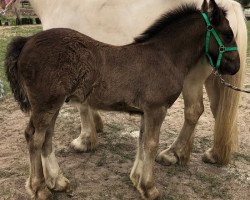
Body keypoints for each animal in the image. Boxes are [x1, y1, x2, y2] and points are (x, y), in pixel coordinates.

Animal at [4, 0, 247, 194]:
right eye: (227, 34)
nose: (235, 66)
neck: (164, 55)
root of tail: (26, 43)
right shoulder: (156, 109)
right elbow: (151, 144)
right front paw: (149, 188)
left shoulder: (146, 111)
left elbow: (142, 141)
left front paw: (137, 179)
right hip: (46, 104)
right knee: (35, 138)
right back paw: (38, 188)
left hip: (50, 105)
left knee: (45, 136)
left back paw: (57, 181)